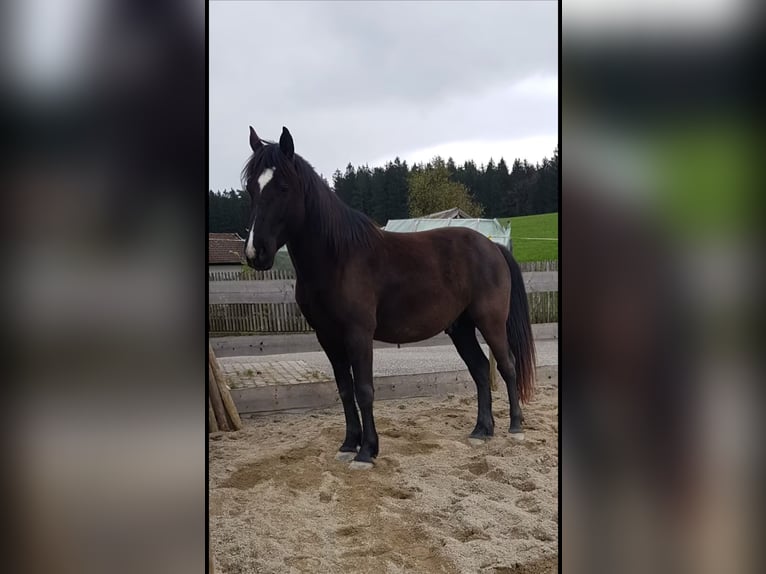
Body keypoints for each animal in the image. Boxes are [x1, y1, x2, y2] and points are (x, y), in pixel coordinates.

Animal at [241, 126, 536, 469]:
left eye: (284, 187)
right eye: (250, 188)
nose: (256, 252)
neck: (338, 258)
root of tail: (492, 247)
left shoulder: (358, 334)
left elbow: (365, 389)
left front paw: (367, 452)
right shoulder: (327, 337)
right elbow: (345, 390)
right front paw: (348, 445)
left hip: (490, 322)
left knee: (507, 365)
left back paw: (515, 428)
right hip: (460, 327)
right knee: (479, 369)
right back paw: (481, 430)